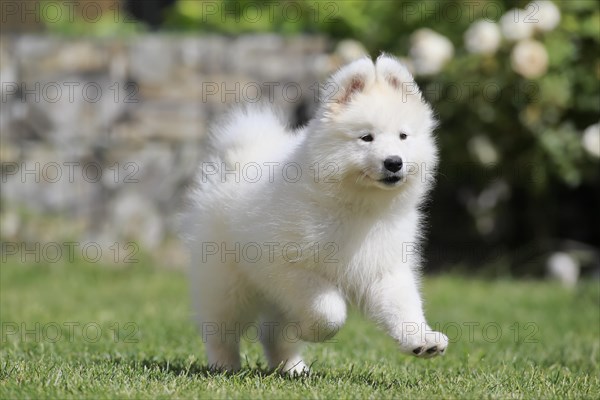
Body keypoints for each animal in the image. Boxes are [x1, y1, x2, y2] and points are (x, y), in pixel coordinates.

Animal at [183, 54, 450, 374]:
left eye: (403, 136)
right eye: (366, 138)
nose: (394, 162)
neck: (357, 206)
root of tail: (241, 157)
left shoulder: (384, 264)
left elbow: (403, 304)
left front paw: (422, 339)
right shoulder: (289, 267)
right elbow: (329, 309)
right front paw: (312, 330)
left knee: (272, 333)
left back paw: (293, 368)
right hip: (226, 280)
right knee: (221, 327)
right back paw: (225, 365)